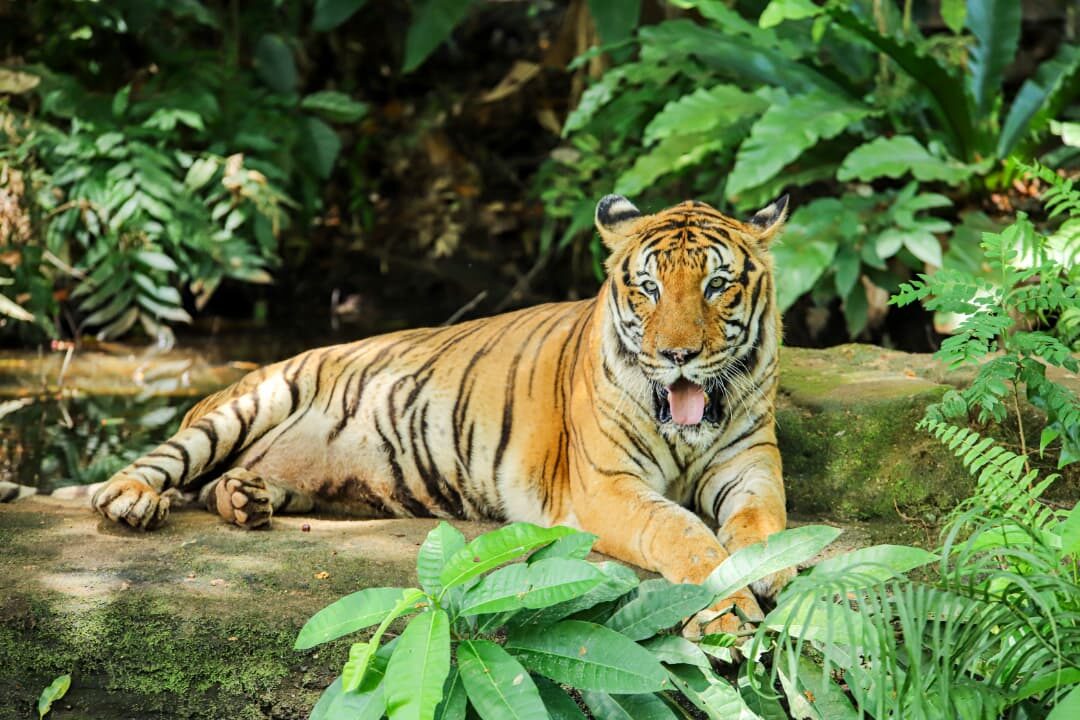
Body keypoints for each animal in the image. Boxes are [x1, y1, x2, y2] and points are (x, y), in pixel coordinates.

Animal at [88, 194, 791, 635]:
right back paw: (132, 501)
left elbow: (767, 526)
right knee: (154, 466)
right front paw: (729, 607)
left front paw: (789, 577)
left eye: (716, 286)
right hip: (254, 400)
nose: (677, 356)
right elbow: (682, 535)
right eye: (648, 289)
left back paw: (244, 500)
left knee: (221, 487)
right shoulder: (606, 487)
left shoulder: (749, 467)